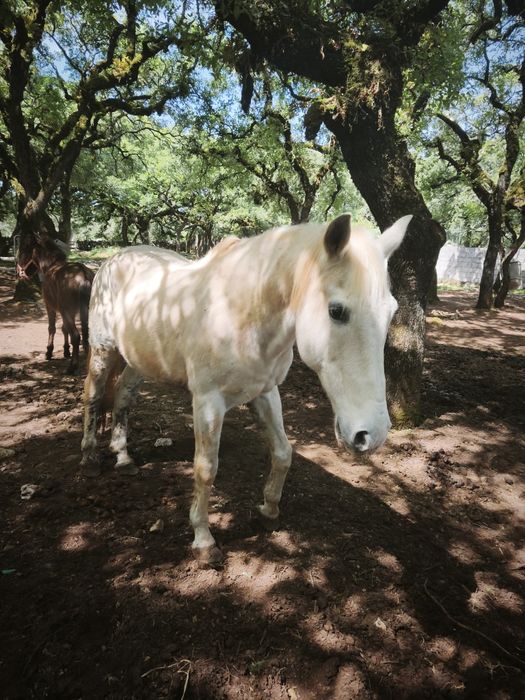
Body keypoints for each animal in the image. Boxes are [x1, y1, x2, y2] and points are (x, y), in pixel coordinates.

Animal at [16, 232, 94, 374]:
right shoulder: (68, 313)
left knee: (76, 336)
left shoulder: (50, 307)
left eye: (24, 250)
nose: (19, 272)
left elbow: (52, 328)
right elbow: (64, 329)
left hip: (66, 311)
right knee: (86, 336)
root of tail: (83, 275)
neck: (52, 266)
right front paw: (66, 351)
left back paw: (72, 366)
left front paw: (49, 352)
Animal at [81, 213, 412, 566]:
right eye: (336, 310)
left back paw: (123, 457)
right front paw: (203, 539)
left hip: (138, 361)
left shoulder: (265, 393)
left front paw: (269, 510)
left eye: (391, 312)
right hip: (103, 351)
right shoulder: (208, 402)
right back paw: (89, 458)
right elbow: (206, 468)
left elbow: (282, 453)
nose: (371, 434)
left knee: (123, 396)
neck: (241, 312)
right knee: (94, 396)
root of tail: (113, 259)